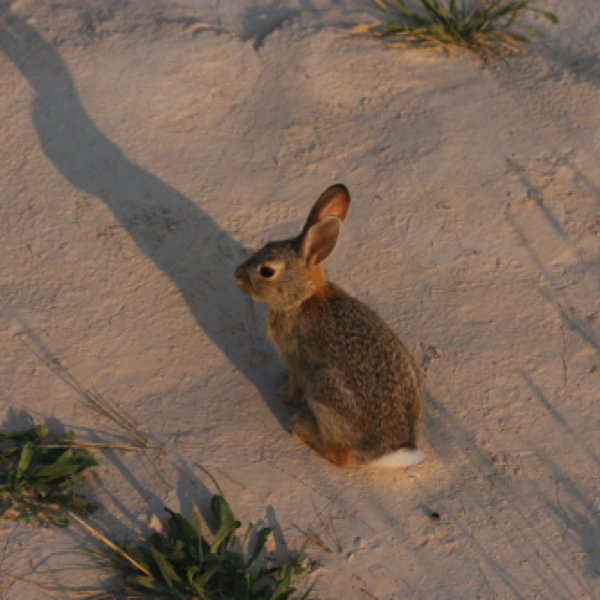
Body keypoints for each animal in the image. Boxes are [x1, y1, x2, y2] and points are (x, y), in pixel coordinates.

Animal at [236, 183, 426, 468]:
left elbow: (297, 384)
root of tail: (392, 452)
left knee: (341, 457)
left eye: (266, 271)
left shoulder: (296, 358)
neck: (302, 298)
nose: (237, 274)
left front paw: (285, 395)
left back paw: (302, 428)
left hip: (324, 395)